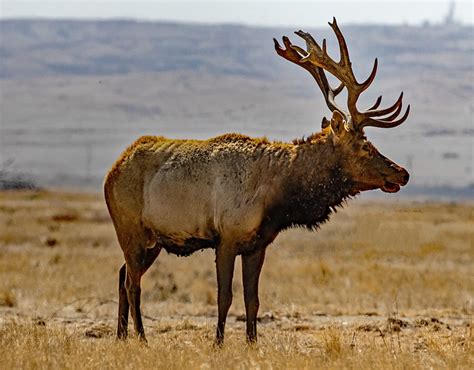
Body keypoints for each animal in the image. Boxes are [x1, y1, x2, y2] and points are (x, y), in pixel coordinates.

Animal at [103, 18, 408, 344]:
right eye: (365, 146)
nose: (402, 172)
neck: (276, 197)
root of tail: (113, 169)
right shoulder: (226, 238)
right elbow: (224, 296)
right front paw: (218, 342)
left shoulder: (257, 244)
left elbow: (253, 299)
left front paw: (252, 342)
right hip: (130, 229)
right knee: (132, 283)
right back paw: (141, 337)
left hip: (153, 240)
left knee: (122, 275)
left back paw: (121, 335)